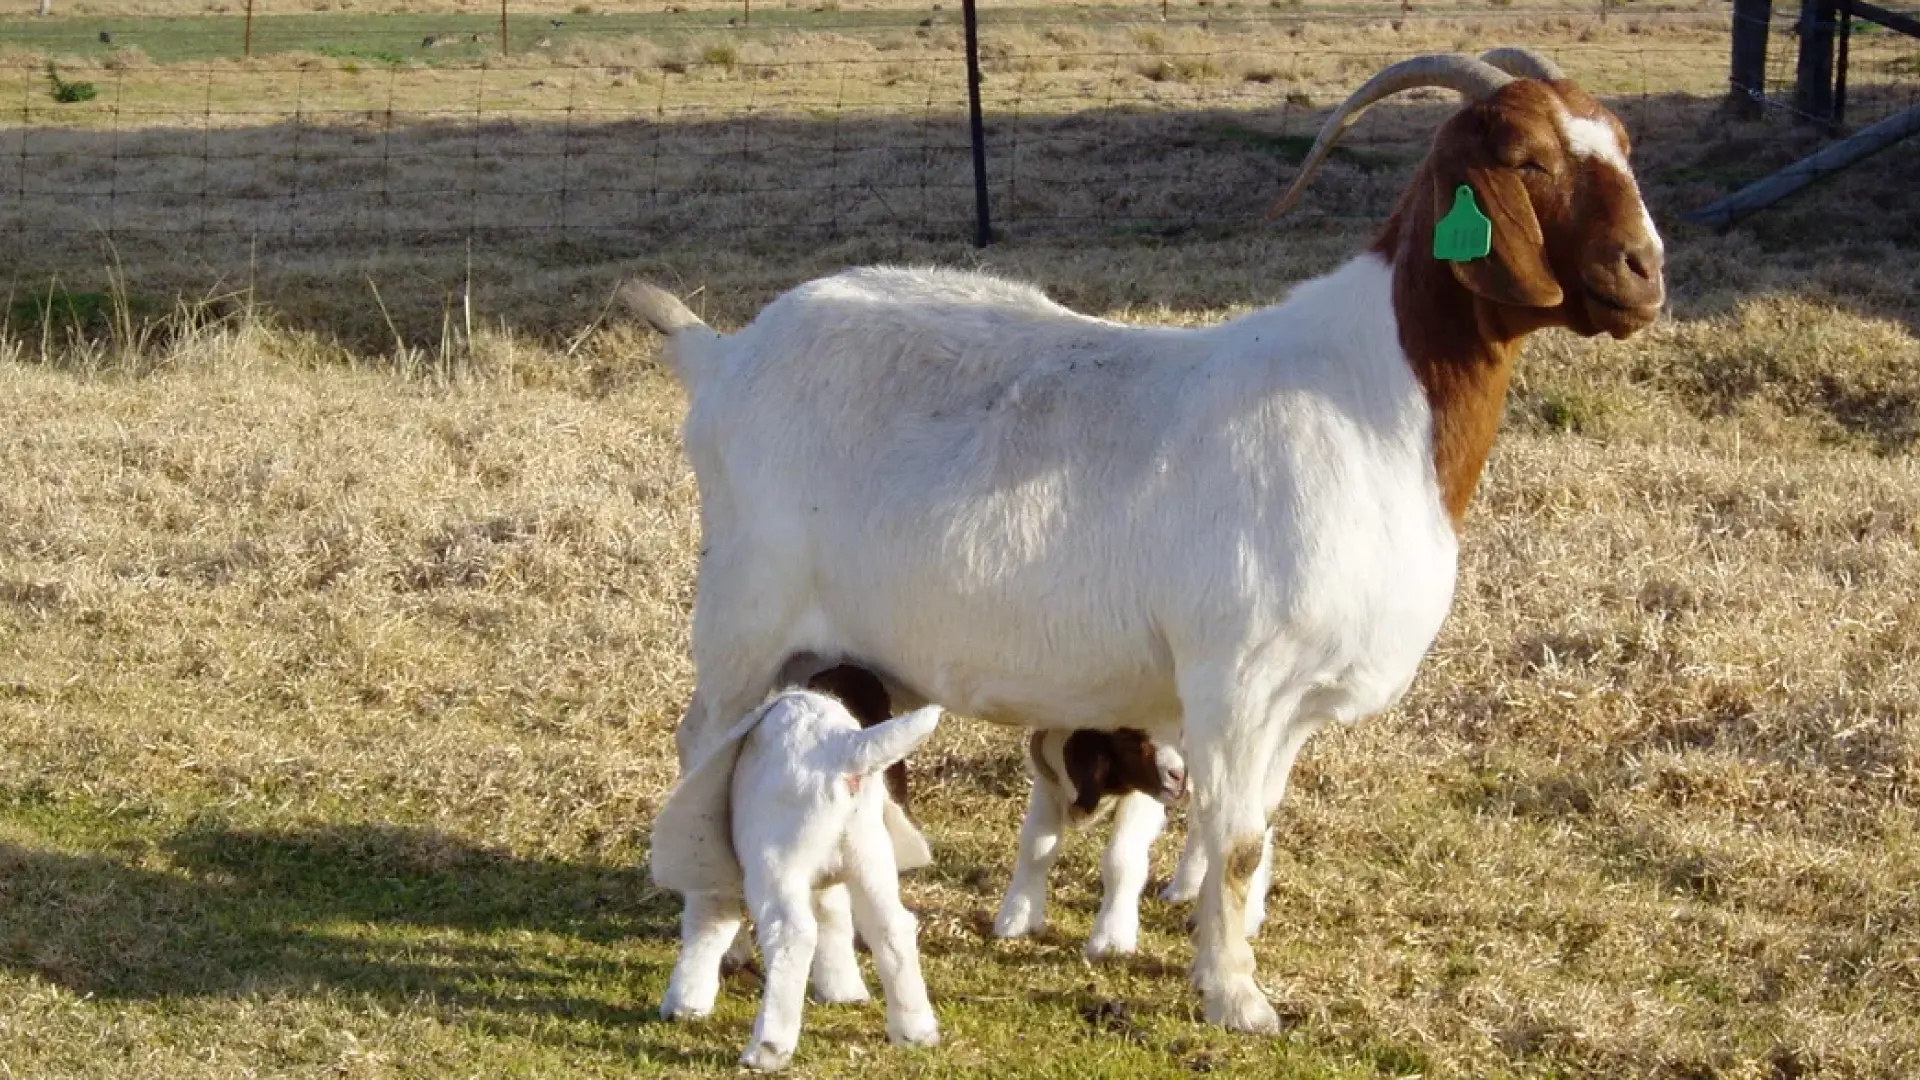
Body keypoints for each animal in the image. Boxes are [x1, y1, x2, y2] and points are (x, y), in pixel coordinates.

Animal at [629, 46, 1666, 1030]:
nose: (1644, 271)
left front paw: (1218, 951)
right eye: (1527, 157)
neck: (1372, 396)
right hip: (744, 619)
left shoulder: (1292, 704)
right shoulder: (1235, 681)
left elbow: (1254, 830)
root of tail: (723, 355)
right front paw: (1238, 998)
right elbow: (1238, 842)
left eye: (1623, 141)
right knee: (704, 748)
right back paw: (715, 947)